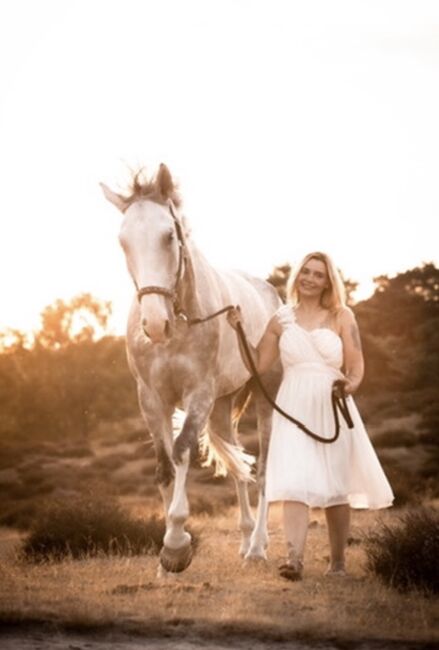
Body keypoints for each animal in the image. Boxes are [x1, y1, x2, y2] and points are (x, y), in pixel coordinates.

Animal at [101, 165, 282, 568]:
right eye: (122, 242)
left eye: (169, 236)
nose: (155, 325)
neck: (183, 317)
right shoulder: (151, 398)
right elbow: (164, 465)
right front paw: (167, 552)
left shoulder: (199, 393)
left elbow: (183, 450)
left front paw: (177, 542)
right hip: (224, 405)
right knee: (236, 465)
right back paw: (245, 540)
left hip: (264, 398)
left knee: (264, 470)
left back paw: (258, 546)